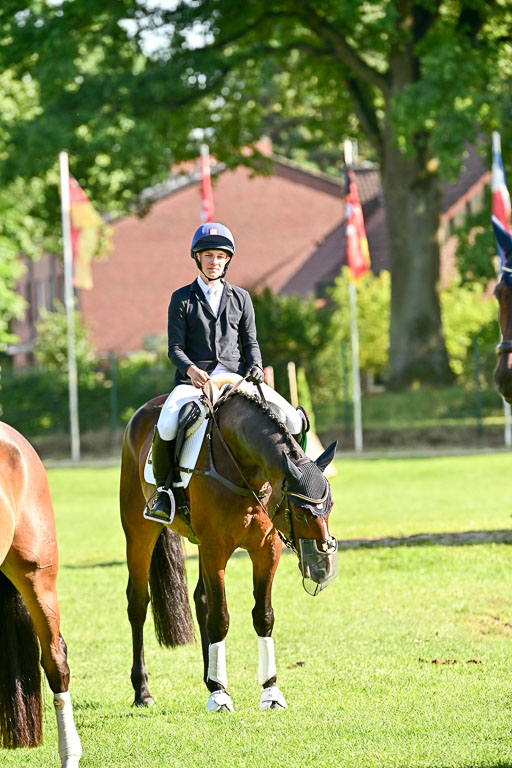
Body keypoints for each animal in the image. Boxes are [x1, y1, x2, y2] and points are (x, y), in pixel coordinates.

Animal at [120, 374, 338, 713]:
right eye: (301, 512)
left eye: (329, 506)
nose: (323, 569)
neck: (244, 465)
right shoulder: (215, 547)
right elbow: (221, 618)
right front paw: (220, 697)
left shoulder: (265, 549)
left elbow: (263, 616)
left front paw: (270, 691)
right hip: (139, 530)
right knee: (138, 603)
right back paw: (143, 691)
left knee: (200, 600)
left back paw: (210, 679)